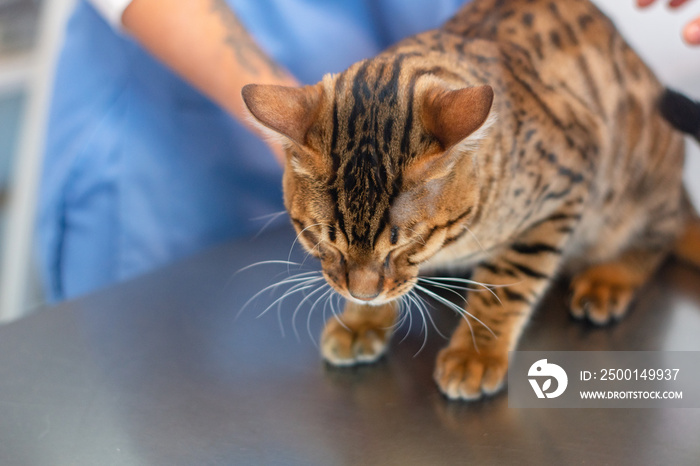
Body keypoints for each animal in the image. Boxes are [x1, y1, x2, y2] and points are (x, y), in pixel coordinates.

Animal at [242, 0, 700, 400]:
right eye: (323, 241)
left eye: (407, 244)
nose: (363, 295)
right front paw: (361, 320)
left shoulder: (564, 191)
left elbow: (507, 283)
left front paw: (474, 354)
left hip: (639, 188)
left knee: (659, 237)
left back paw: (609, 279)